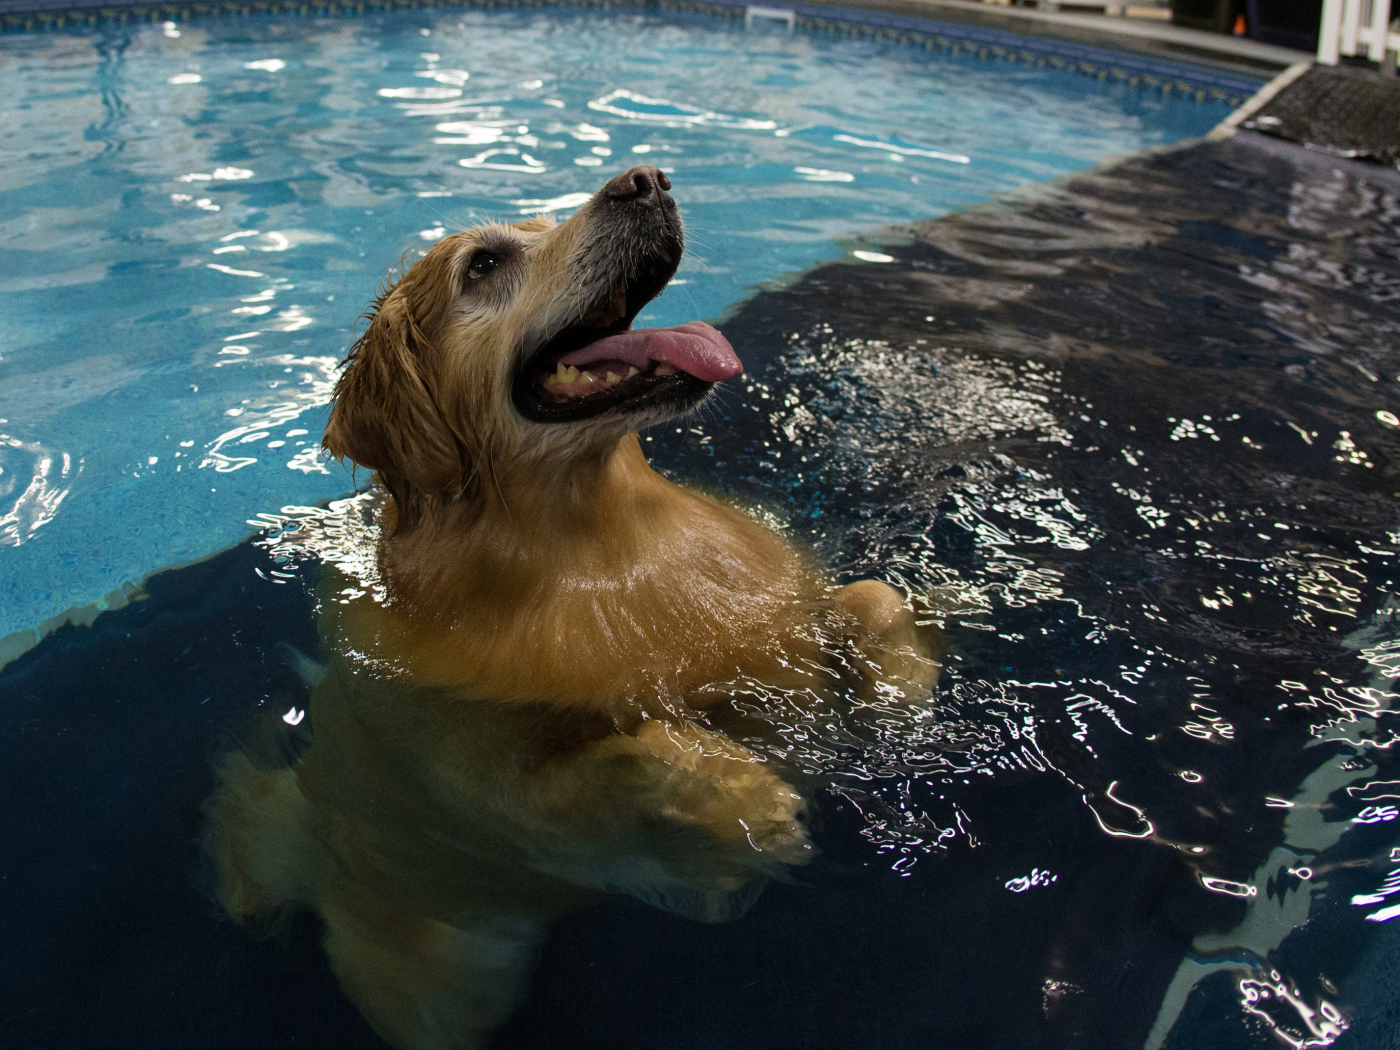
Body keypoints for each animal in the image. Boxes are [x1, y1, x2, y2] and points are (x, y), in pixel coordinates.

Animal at [203, 168, 935, 1047]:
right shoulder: (507, 799)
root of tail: (313, 852)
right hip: (442, 988)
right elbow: (639, 748)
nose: (646, 179)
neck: (602, 545)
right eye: (484, 265)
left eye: (545, 222)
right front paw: (745, 796)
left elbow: (872, 597)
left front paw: (902, 694)